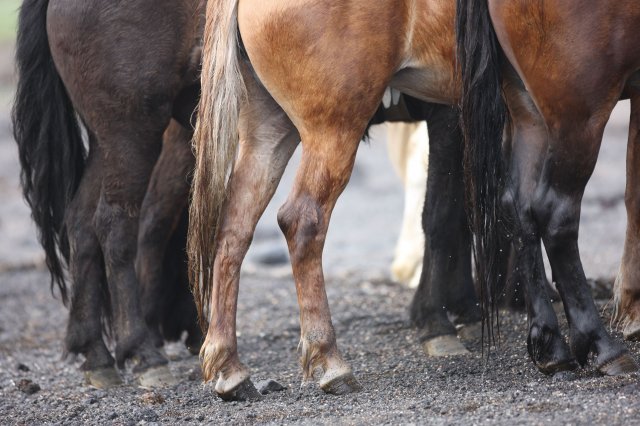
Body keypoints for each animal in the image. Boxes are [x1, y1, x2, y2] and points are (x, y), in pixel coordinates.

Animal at [456, 1, 640, 376]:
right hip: (580, 114)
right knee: (555, 214)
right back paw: (600, 344)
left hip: (527, 107)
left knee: (518, 207)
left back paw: (549, 343)